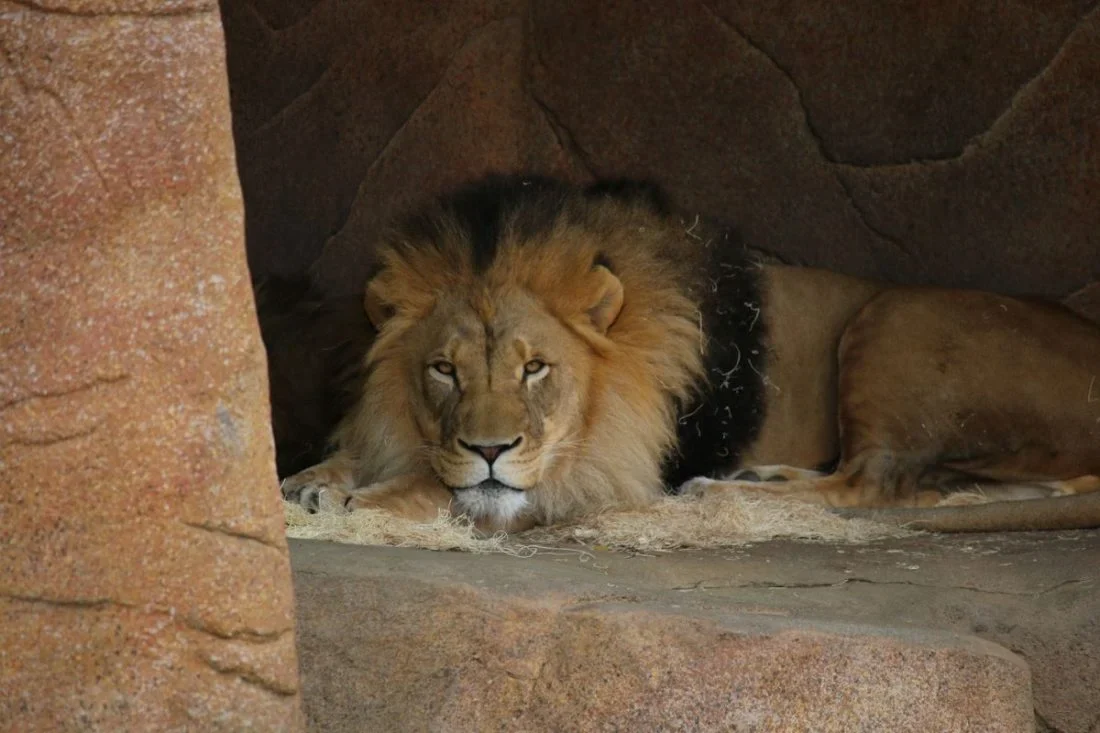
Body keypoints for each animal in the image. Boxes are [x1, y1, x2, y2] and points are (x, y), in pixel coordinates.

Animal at [278, 174, 1100, 533]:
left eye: (535, 367)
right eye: (443, 369)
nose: (488, 447)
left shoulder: (605, 468)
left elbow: (462, 487)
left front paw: (364, 496)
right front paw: (312, 477)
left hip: (894, 315)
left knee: (877, 486)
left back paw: (720, 491)